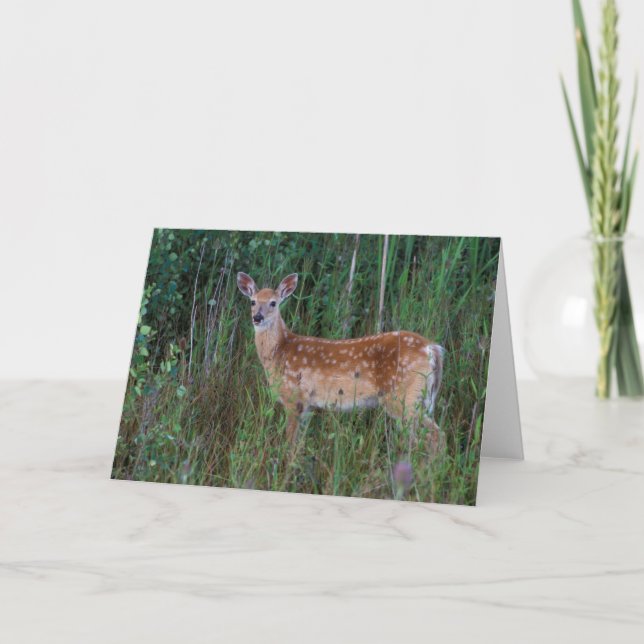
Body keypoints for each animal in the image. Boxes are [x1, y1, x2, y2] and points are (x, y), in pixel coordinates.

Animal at [236, 272, 445, 451]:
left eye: (273, 303)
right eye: (253, 301)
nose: (257, 317)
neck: (279, 351)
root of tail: (432, 348)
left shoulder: (293, 397)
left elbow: (290, 443)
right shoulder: (308, 405)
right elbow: (299, 444)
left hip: (402, 397)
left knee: (434, 436)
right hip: (420, 398)